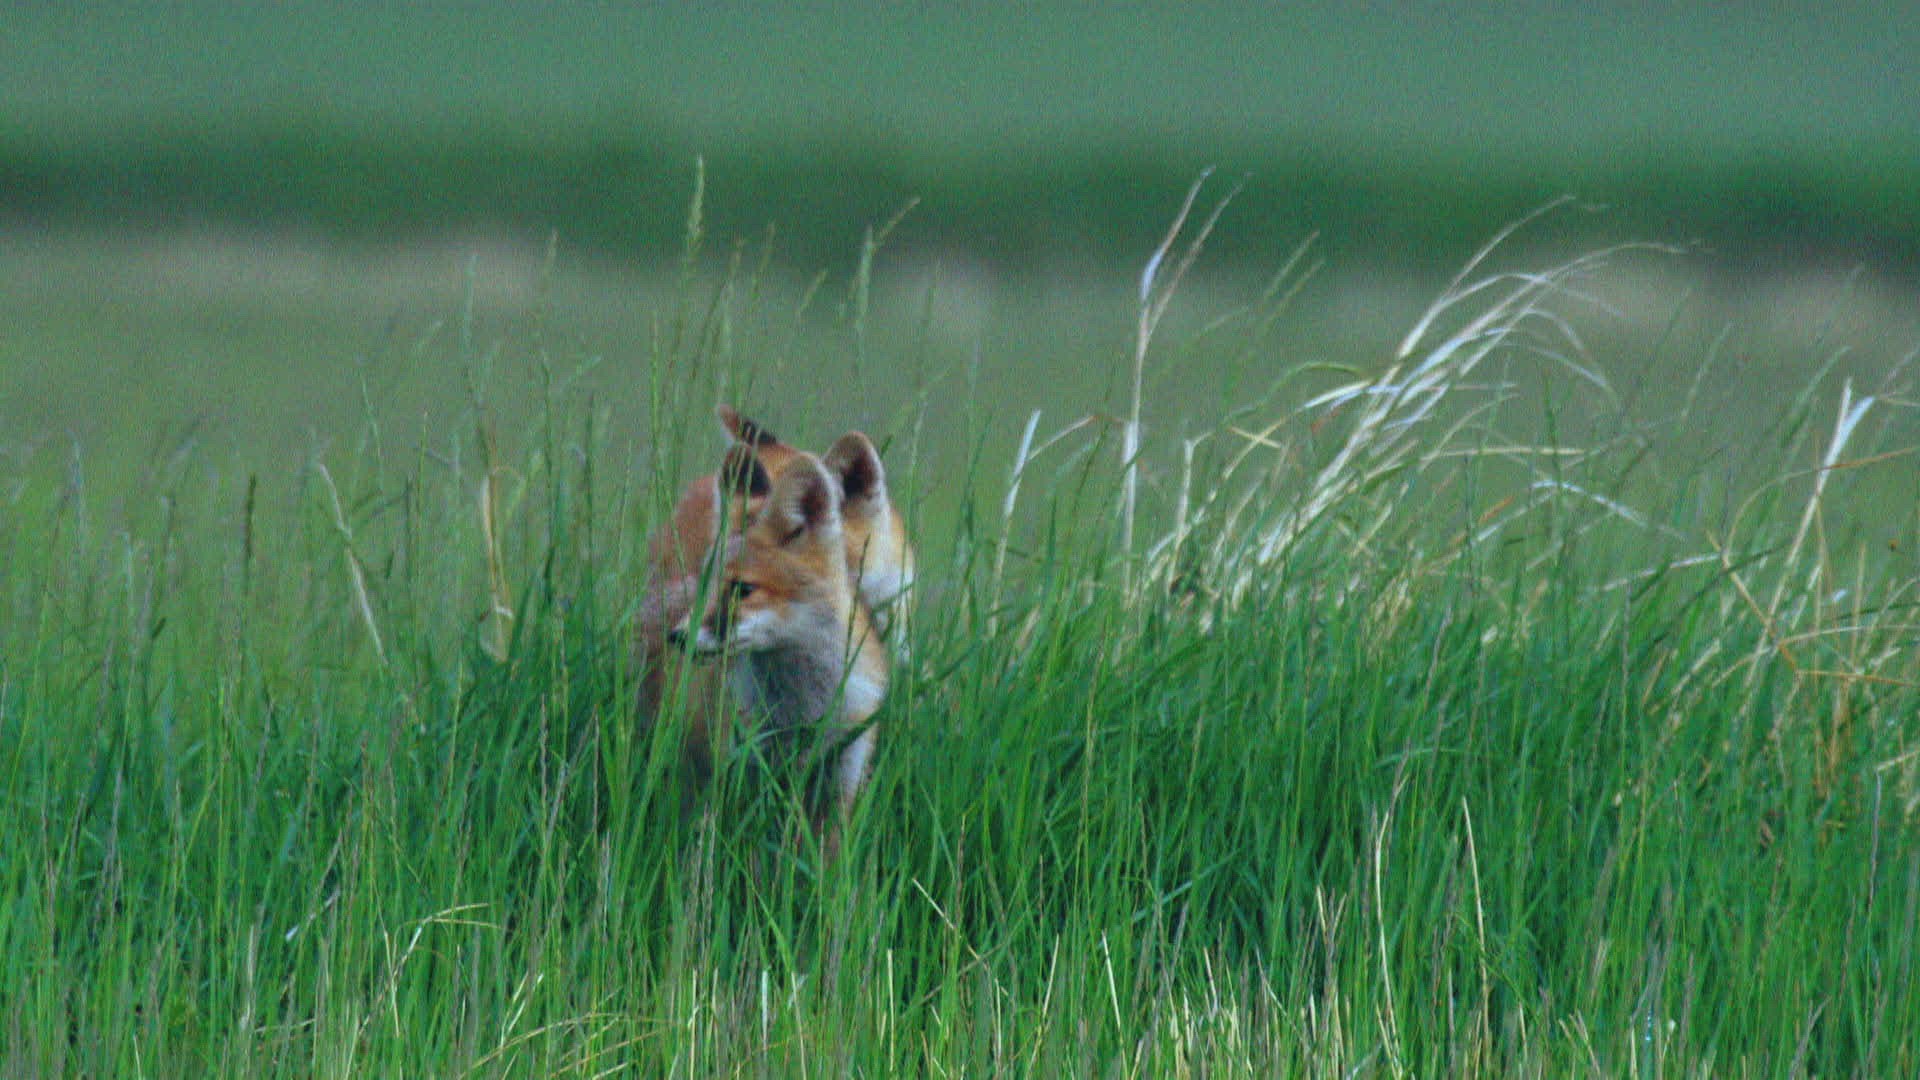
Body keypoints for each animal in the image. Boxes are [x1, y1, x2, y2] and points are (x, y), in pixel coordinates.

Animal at [668, 452, 890, 849]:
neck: (802, 711)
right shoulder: (744, 776)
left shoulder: (842, 779)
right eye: (705, 587)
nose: (678, 637)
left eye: (743, 590)